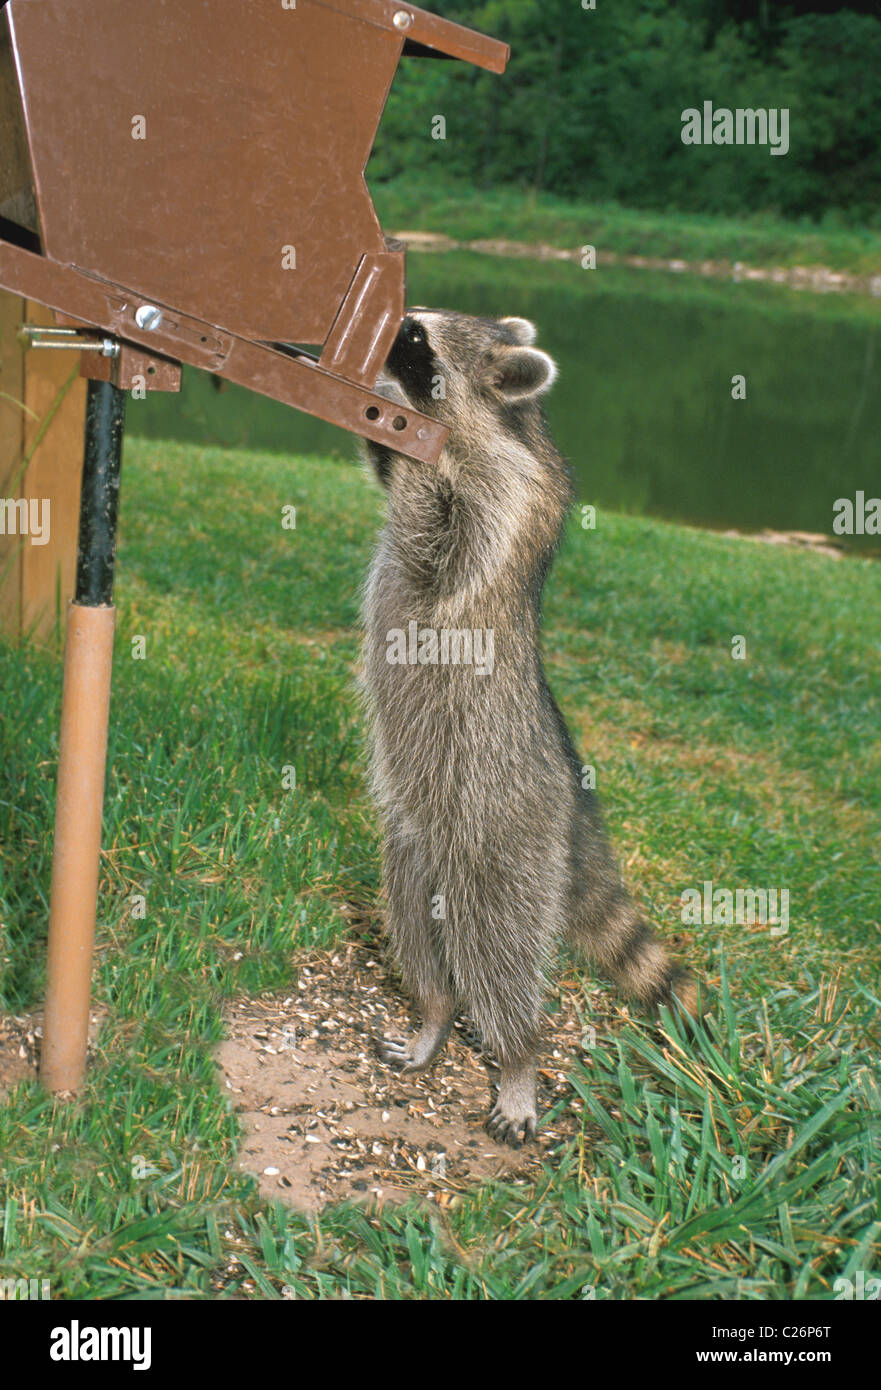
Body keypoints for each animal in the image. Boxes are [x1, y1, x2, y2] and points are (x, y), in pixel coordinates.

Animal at [361, 308, 698, 1146]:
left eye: (416, 337)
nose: (389, 329)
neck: (503, 424)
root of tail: (572, 821)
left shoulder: (503, 504)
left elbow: (443, 546)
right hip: (412, 852)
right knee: (417, 934)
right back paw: (434, 1015)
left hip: (503, 843)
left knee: (499, 959)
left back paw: (517, 1059)